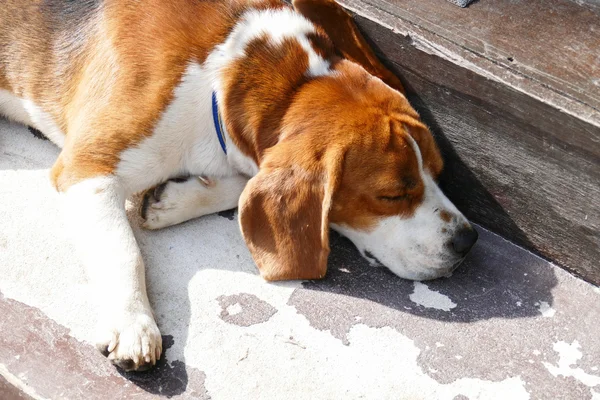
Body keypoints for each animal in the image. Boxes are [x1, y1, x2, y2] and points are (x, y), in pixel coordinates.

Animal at [0, 0, 478, 370]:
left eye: (437, 171)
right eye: (392, 195)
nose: (467, 241)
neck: (230, 73)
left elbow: (244, 184)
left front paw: (172, 200)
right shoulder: (86, 168)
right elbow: (123, 251)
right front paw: (134, 324)